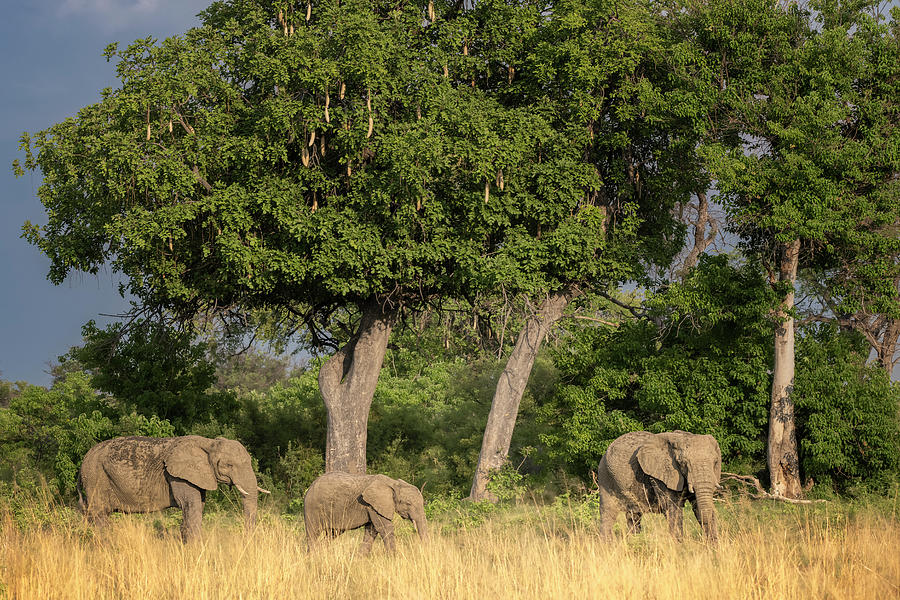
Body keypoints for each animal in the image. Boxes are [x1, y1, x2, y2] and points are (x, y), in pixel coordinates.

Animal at [78, 436, 268, 544]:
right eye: (229, 465)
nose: (245, 544)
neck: (209, 443)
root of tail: (83, 461)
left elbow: (198, 505)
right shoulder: (177, 475)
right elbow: (191, 505)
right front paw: (195, 548)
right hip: (95, 477)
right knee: (100, 514)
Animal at [596, 428, 724, 540]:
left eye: (715, 462)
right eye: (682, 463)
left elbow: (697, 505)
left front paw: (713, 548)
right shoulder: (661, 475)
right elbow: (673, 509)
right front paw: (680, 547)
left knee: (634, 516)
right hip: (605, 476)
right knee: (608, 513)